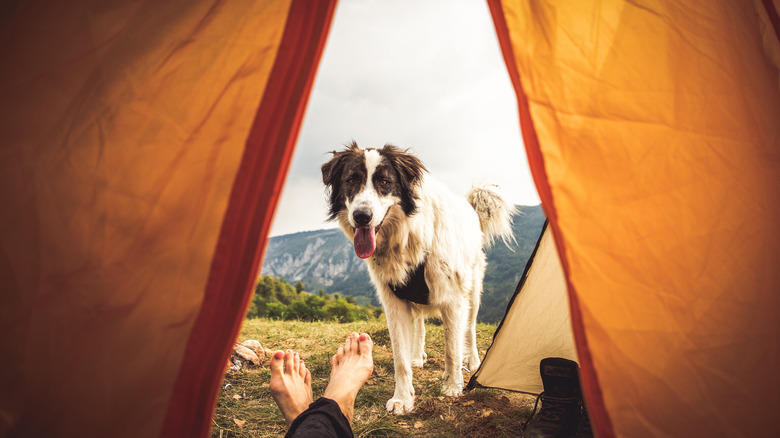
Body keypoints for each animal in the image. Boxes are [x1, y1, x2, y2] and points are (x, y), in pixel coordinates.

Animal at [320, 141, 516, 414]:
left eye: (384, 182)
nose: (361, 216)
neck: (405, 235)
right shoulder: (393, 301)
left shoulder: (452, 297)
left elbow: (452, 347)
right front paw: (403, 398)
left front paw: (453, 385)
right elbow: (400, 358)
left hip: (473, 290)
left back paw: (472, 361)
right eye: (351, 180)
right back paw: (417, 356)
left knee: (468, 329)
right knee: (420, 325)